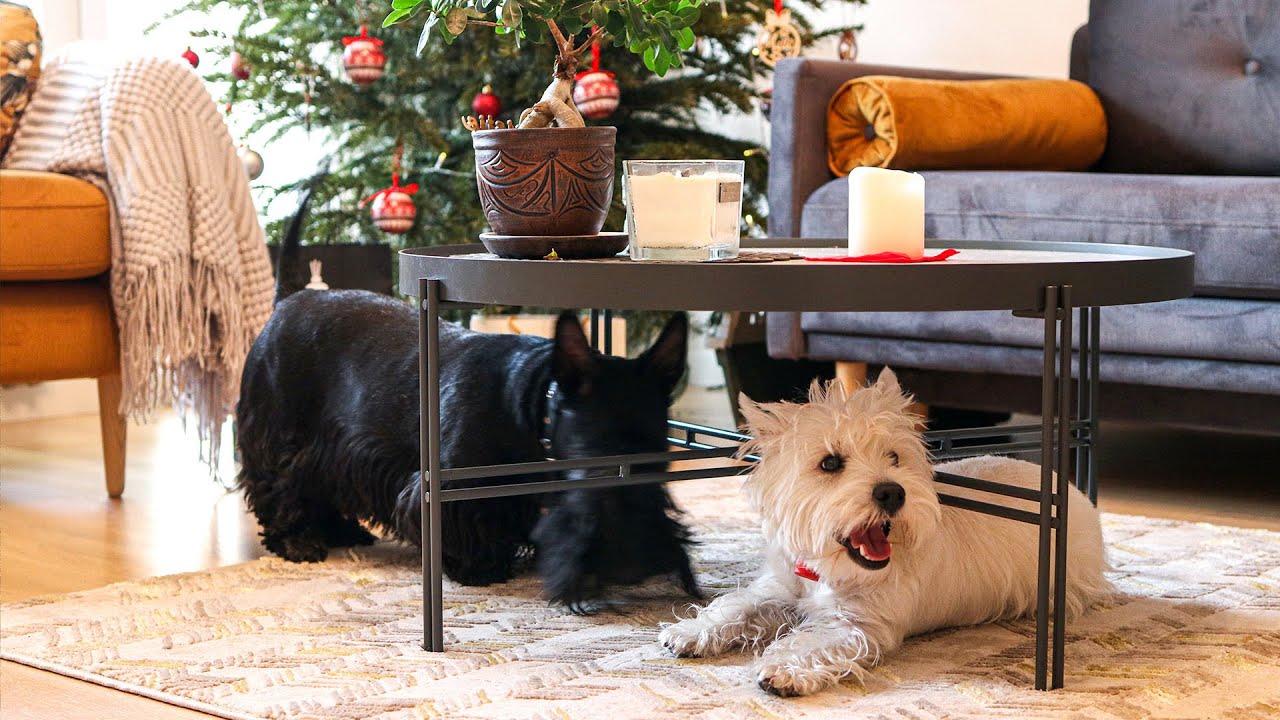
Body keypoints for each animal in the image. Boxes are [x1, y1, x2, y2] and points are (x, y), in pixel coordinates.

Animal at [660, 366, 1111, 691]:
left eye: (894, 456)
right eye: (830, 463)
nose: (892, 492)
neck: (829, 570)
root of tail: (1069, 488)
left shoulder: (859, 625)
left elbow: (812, 640)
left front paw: (783, 670)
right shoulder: (781, 587)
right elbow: (739, 605)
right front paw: (689, 632)